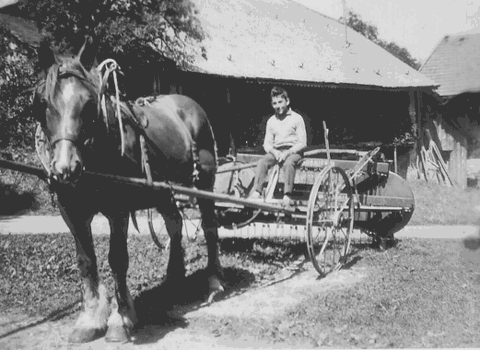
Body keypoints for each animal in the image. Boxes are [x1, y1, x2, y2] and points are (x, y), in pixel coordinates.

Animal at [33, 39, 225, 344]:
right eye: (42, 103)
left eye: (89, 103)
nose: (66, 167)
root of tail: (190, 105)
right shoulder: (71, 210)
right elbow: (86, 261)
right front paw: (89, 320)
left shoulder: (118, 208)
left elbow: (117, 259)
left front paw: (121, 319)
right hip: (162, 190)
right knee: (175, 223)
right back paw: (173, 281)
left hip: (204, 182)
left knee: (209, 227)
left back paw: (214, 282)